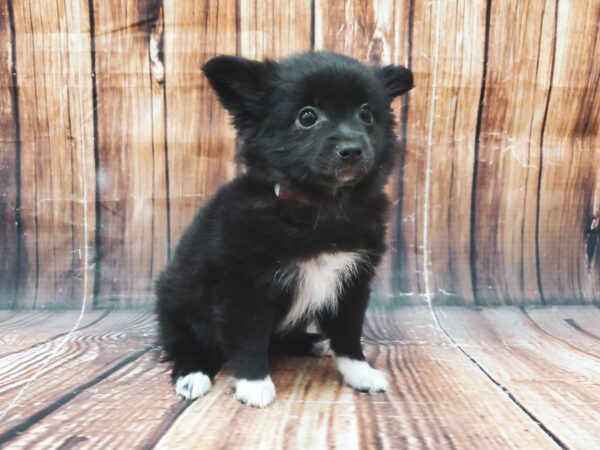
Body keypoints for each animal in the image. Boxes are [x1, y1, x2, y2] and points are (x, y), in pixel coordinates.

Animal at [155, 51, 412, 406]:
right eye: (307, 117)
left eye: (366, 114)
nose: (352, 150)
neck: (322, 205)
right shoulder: (245, 285)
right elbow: (250, 338)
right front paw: (254, 383)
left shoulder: (352, 282)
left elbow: (349, 332)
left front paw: (360, 372)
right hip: (178, 302)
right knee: (186, 342)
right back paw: (192, 373)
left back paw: (314, 342)